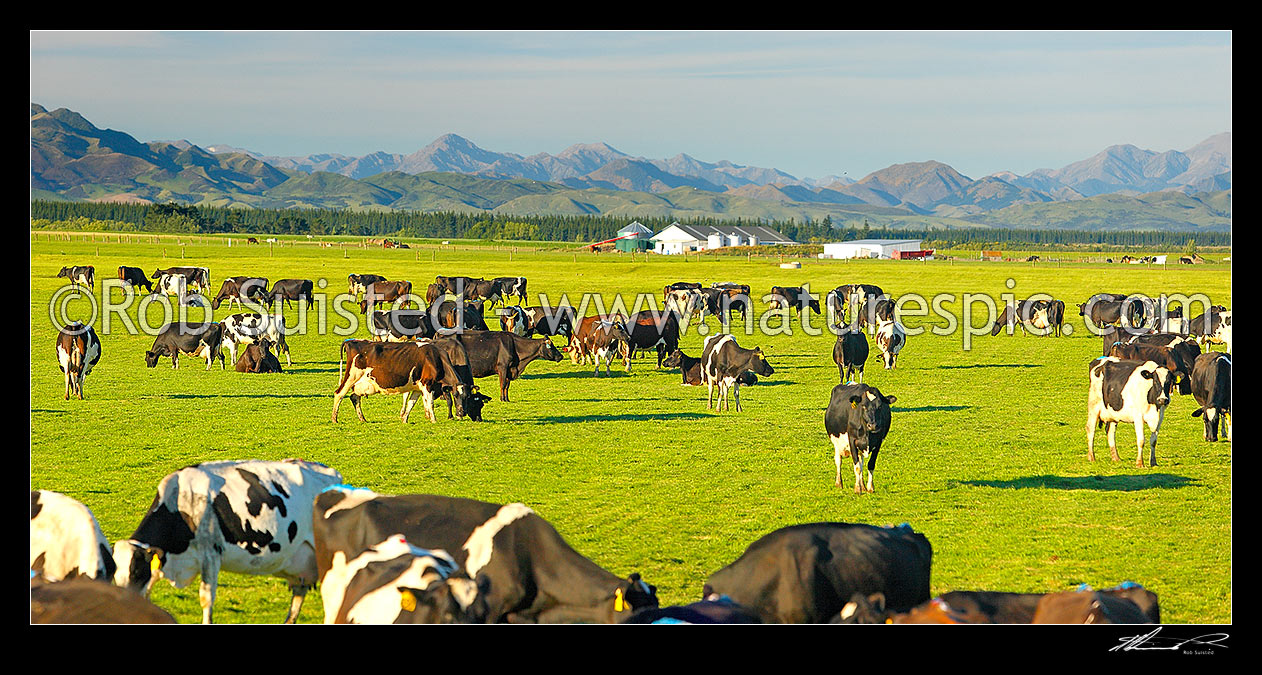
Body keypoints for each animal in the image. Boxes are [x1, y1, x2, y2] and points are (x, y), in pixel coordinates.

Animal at [333, 343, 479, 423]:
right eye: (455, 395)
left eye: (468, 396)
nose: (462, 413)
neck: (435, 358)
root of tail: (352, 342)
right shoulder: (427, 384)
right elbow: (430, 403)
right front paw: (434, 420)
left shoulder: (417, 388)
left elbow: (411, 403)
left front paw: (404, 420)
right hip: (351, 377)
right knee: (339, 394)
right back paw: (334, 419)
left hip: (360, 383)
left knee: (354, 397)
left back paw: (362, 419)